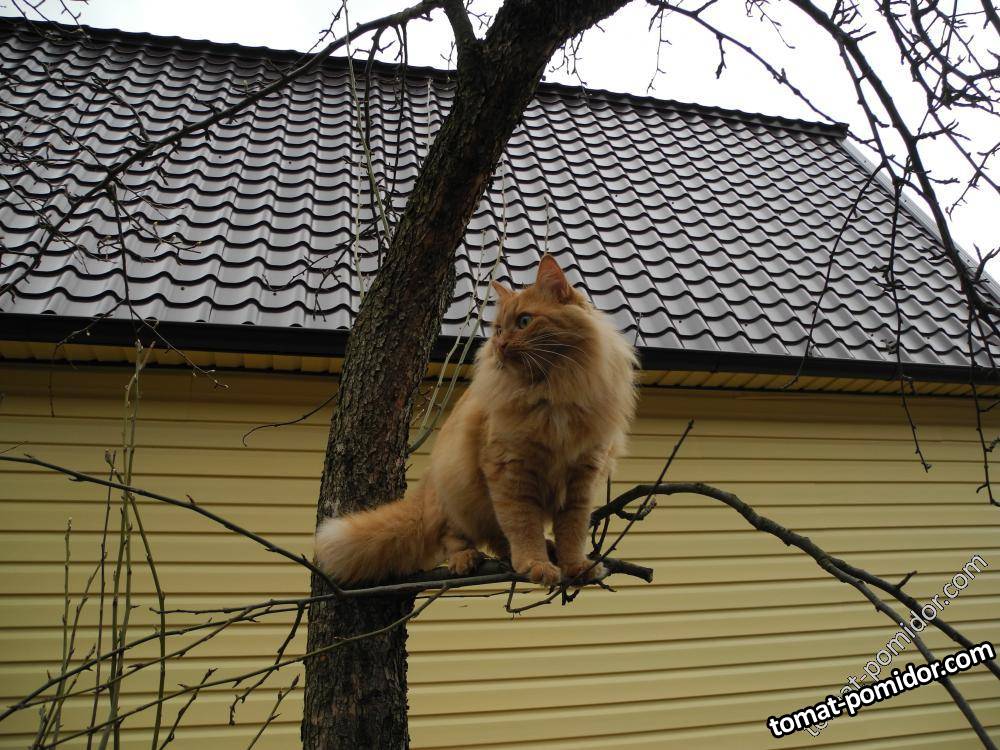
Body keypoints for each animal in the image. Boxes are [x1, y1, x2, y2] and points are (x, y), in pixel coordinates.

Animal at [314, 253, 638, 585]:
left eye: (524, 322)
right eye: (498, 330)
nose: (500, 345)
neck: (552, 393)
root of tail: (428, 485)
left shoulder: (582, 478)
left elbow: (572, 532)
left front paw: (576, 566)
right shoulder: (510, 472)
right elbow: (523, 527)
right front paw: (534, 563)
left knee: (498, 539)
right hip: (457, 490)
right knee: (456, 537)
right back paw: (467, 559)